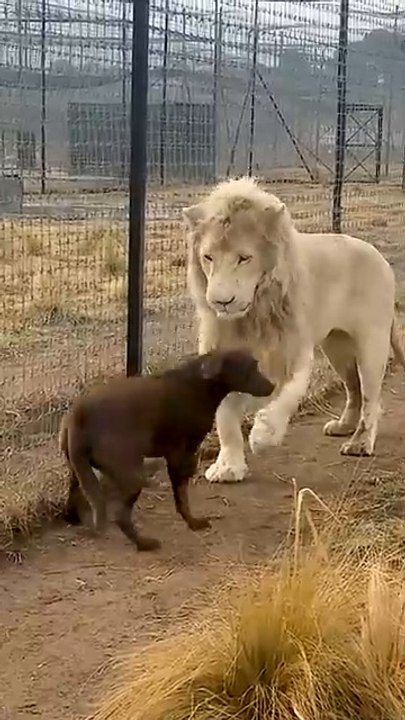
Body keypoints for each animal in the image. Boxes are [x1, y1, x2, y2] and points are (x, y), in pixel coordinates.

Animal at [182, 176, 405, 484]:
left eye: (244, 258)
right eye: (208, 257)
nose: (221, 301)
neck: (252, 315)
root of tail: (379, 256)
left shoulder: (294, 348)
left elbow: (288, 394)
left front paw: (264, 434)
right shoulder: (221, 354)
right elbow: (225, 416)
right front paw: (228, 466)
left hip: (370, 343)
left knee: (372, 396)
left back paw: (360, 442)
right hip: (337, 348)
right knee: (354, 389)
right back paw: (343, 427)